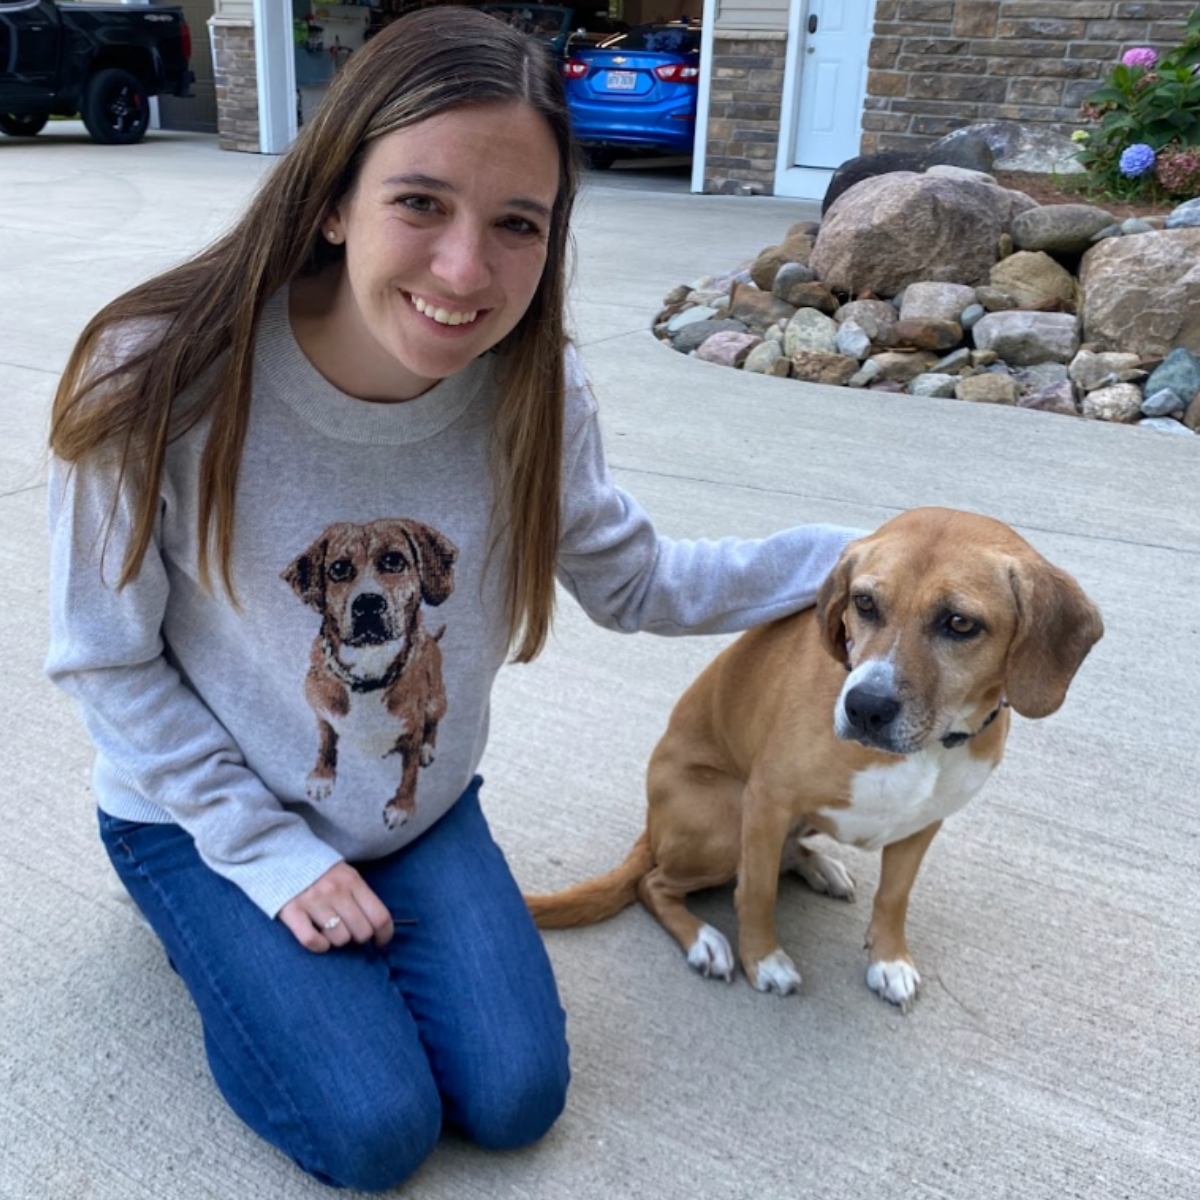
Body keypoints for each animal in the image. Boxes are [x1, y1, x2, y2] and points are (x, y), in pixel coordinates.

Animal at [280, 520, 458, 830]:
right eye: (339, 568)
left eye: (394, 561)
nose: (368, 604)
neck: (368, 674)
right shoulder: (323, 716)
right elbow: (326, 745)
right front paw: (322, 776)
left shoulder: (412, 730)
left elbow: (409, 774)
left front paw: (402, 806)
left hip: (437, 700)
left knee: (432, 725)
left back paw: (427, 748)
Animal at [528, 511, 1104, 1008]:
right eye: (865, 602)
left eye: (960, 623)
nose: (865, 708)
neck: (929, 747)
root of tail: (651, 824)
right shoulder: (766, 801)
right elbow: (756, 890)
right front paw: (763, 960)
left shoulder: (922, 824)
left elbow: (893, 898)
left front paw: (889, 959)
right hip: (726, 816)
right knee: (653, 884)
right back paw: (706, 941)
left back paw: (818, 866)